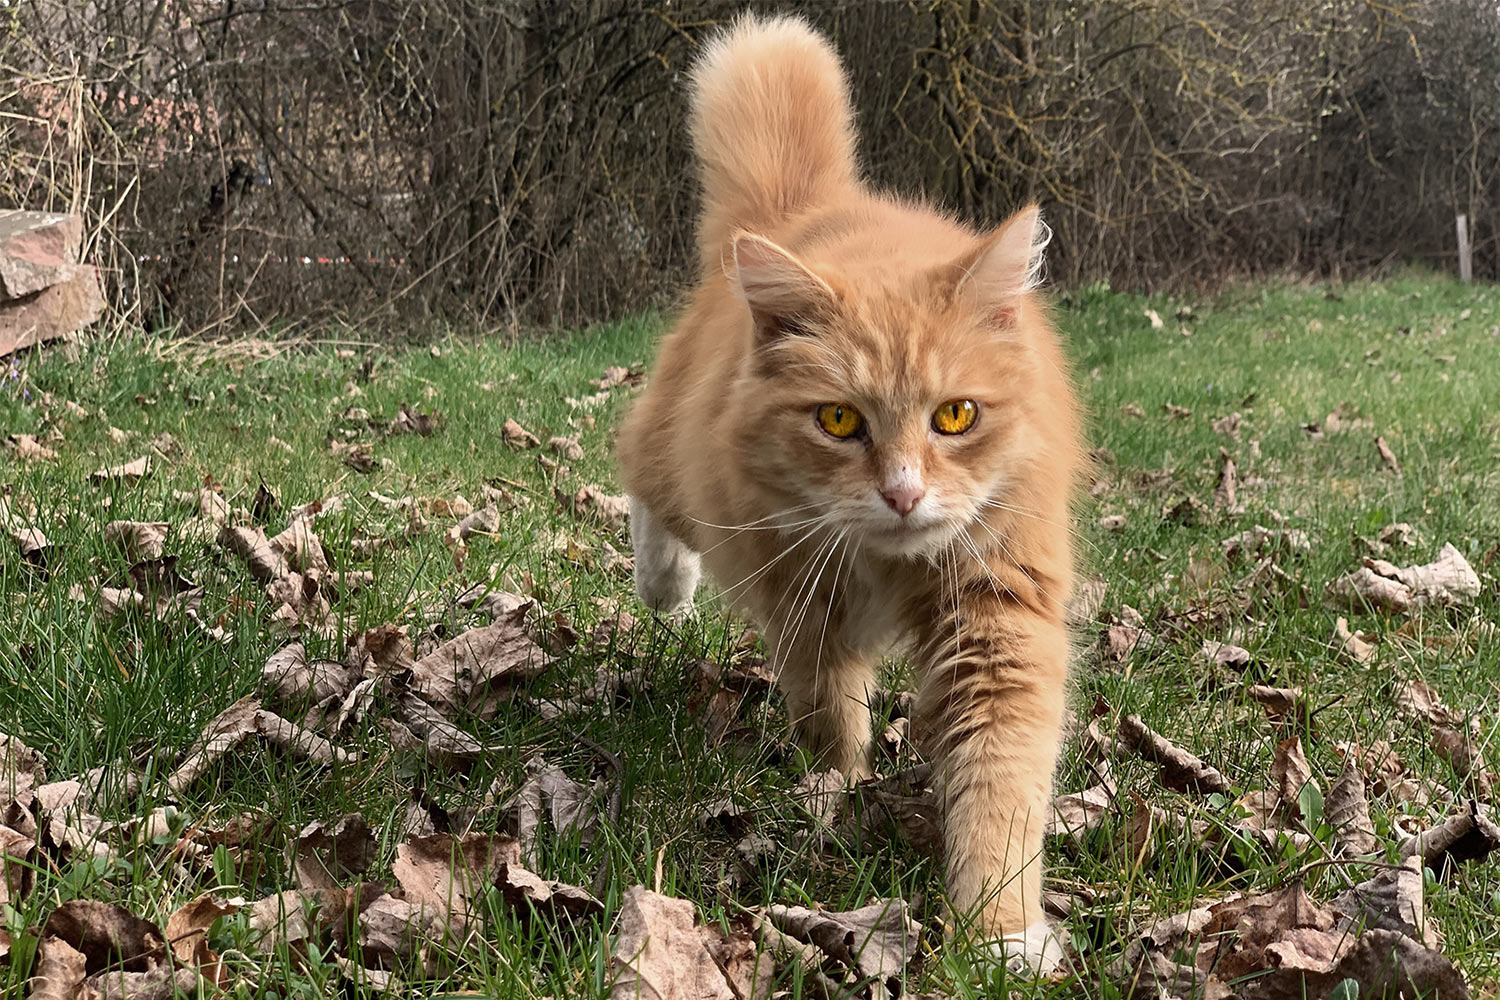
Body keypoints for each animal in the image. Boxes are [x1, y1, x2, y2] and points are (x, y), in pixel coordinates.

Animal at [616, 14, 1080, 973]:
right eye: (838, 421)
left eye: (955, 415)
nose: (903, 494)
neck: (887, 564)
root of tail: (801, 209)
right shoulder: (800, 601)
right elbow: (829, 714)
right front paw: (835, 793)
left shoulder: (1000, 621)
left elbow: (1000, 787)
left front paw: (1002, 932)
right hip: (679, 469)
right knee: (639, 476)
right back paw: (663, 587)